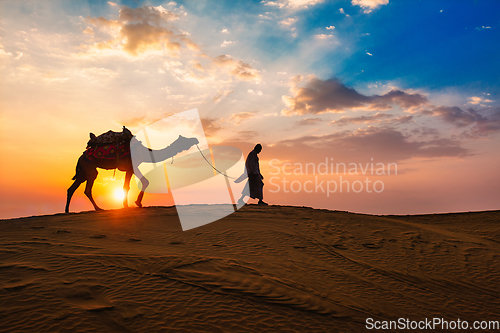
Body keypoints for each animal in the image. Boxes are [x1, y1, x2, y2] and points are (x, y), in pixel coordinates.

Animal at [65, 134, 199, 211]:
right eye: (185, 140)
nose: (196, 139)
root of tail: (80, 157)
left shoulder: (132, 167)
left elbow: (132, 184)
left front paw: (132, 203)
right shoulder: (131, 166)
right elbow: (136, 184)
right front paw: (134, 203)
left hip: (83, 172)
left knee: (71, 189)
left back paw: (67, 210)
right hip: (89, 168)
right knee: (87, 189)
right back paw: (99, 208)